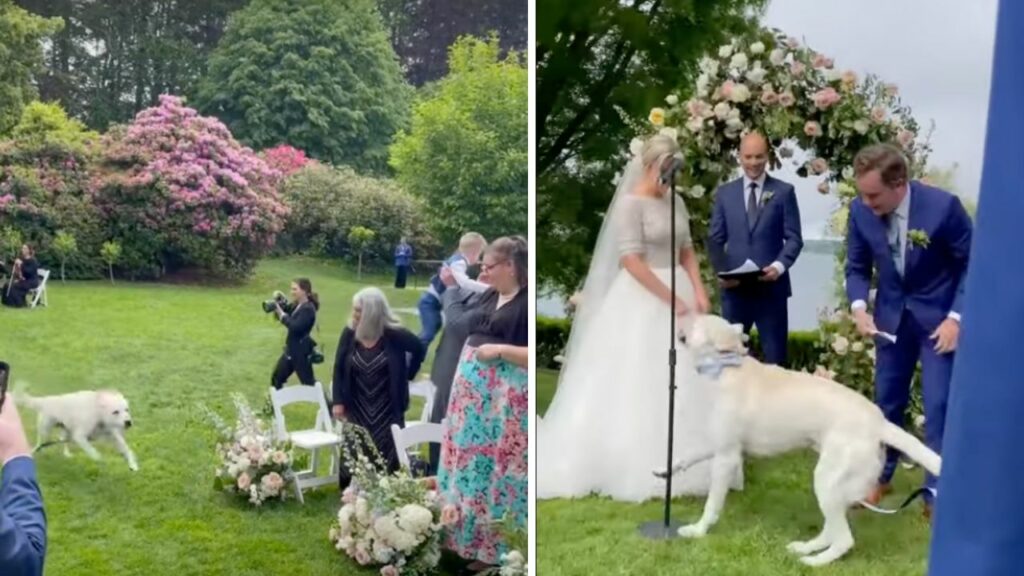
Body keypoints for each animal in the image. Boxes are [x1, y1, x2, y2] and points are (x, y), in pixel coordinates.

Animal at [659, 313, 937, 565]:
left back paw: (815, 562)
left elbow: (712, 503)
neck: (725, 367)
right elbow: (688, 455)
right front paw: (665, 470)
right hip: (837, 488)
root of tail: (880, 422)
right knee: (831, 530)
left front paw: (698, 530)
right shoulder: (718, 443)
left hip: (827, 480)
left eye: (698, 321)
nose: (680, 319)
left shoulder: (727, 456)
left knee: (844, 538)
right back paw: (805, 548)